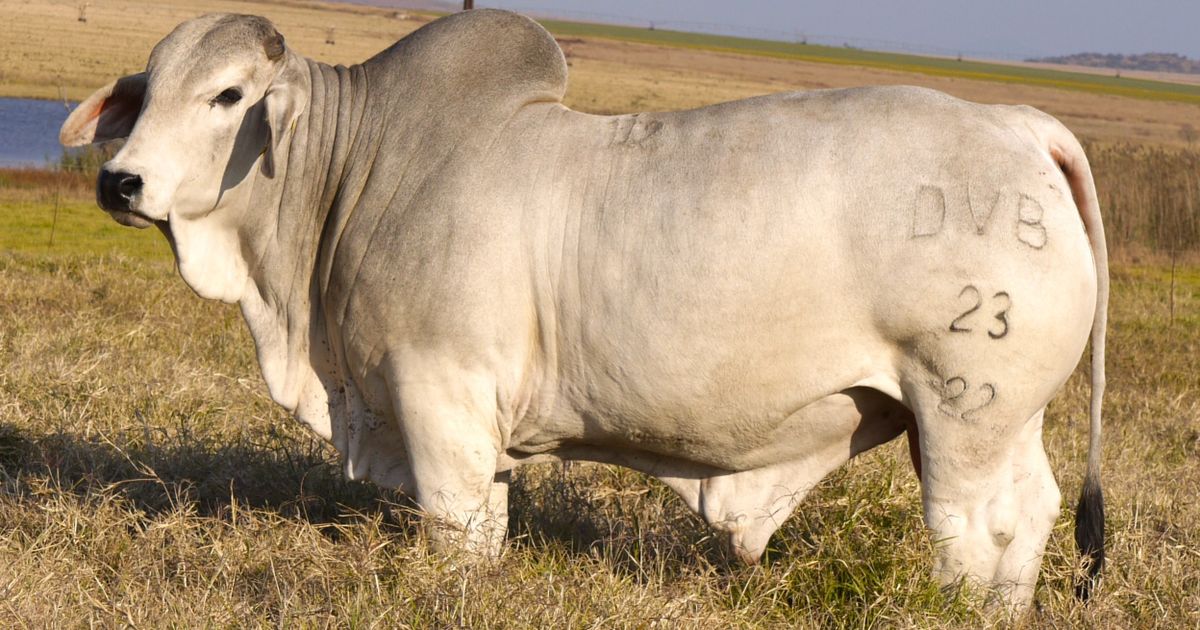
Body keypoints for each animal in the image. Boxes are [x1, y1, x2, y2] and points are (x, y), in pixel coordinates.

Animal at [60, 10, 1108, 608]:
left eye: (228, 94)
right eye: (147, 90)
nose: (121, 181)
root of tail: (1022, 123)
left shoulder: (436, 394)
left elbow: (452, 534)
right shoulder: (467, 423)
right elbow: (485, 530)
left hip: (964, 413)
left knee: (979, 532)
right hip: (997, 421)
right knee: (1033, 516)